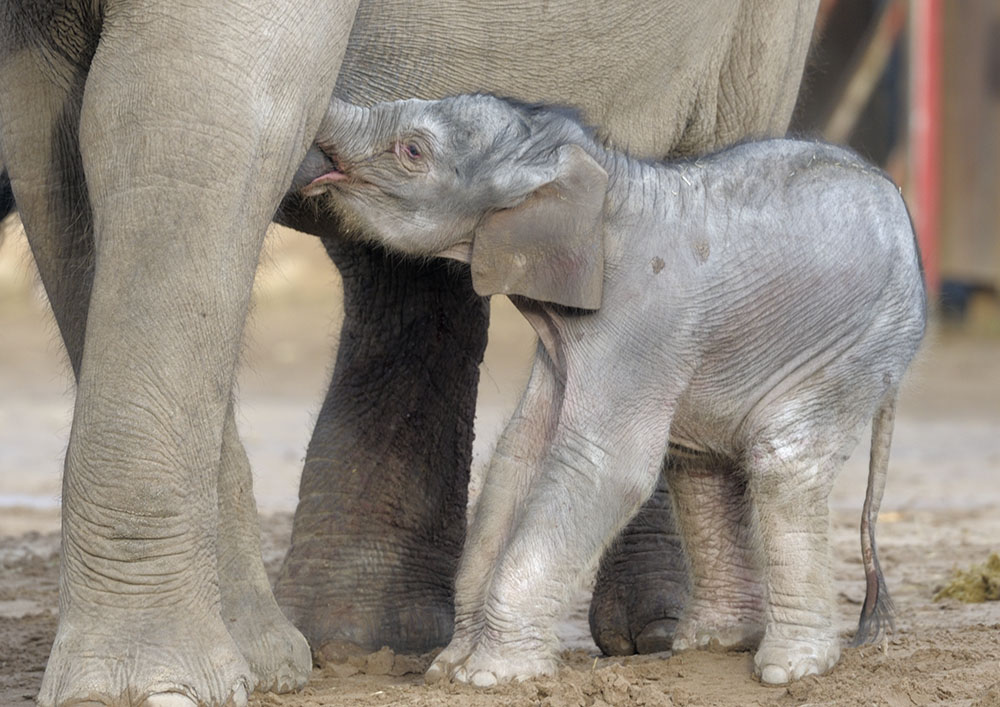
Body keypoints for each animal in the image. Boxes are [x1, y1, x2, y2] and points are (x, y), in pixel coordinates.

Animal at [0, 1, 819, 704]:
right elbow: (58, 153)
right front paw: (257, 662)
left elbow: (184, 114)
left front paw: (144, 690)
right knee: (400, 262)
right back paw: (364, 638)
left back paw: (663, 636)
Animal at [297, 93, 927, 685]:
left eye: (411, 151)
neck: (600, 177)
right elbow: (519, 456)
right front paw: (448, 668)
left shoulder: (639, 326)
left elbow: (605, 467)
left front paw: (490, 675)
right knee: (699, 462)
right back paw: (711, 644)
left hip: (856, 342)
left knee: (782, 462)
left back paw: (790, 669)